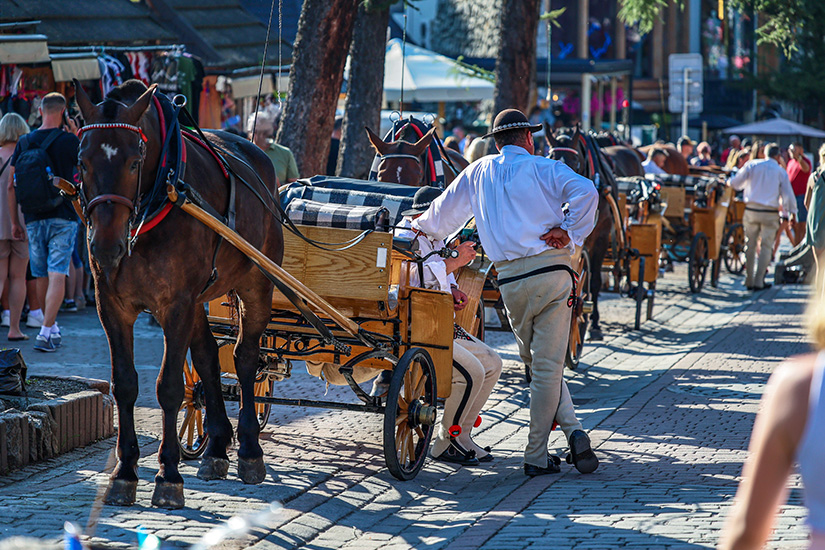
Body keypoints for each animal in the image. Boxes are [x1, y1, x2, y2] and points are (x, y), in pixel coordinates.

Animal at [77, 80, 284, 512]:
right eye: (83, 162)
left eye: (133, 163)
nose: (105, 246)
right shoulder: (112, 305)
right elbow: (126, 384)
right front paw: (125, 472)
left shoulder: (176, 306)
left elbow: (169, 387)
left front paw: (168, 475)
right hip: (200, 300)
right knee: (207, 357)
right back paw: (218, 446)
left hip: (257, 283)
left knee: (245, 358)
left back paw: (249, 450)